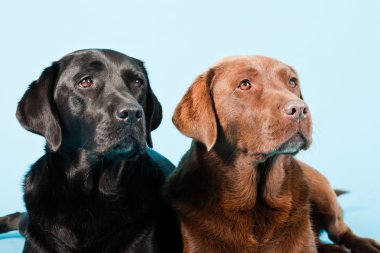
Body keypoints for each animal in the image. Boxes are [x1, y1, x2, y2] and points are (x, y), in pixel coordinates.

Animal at [166, 55, 380, 253]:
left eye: (292, 82)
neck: (255, 202)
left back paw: (365, 244)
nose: (300, 109)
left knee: (339, 228)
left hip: (321, 189)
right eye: (245, 84)